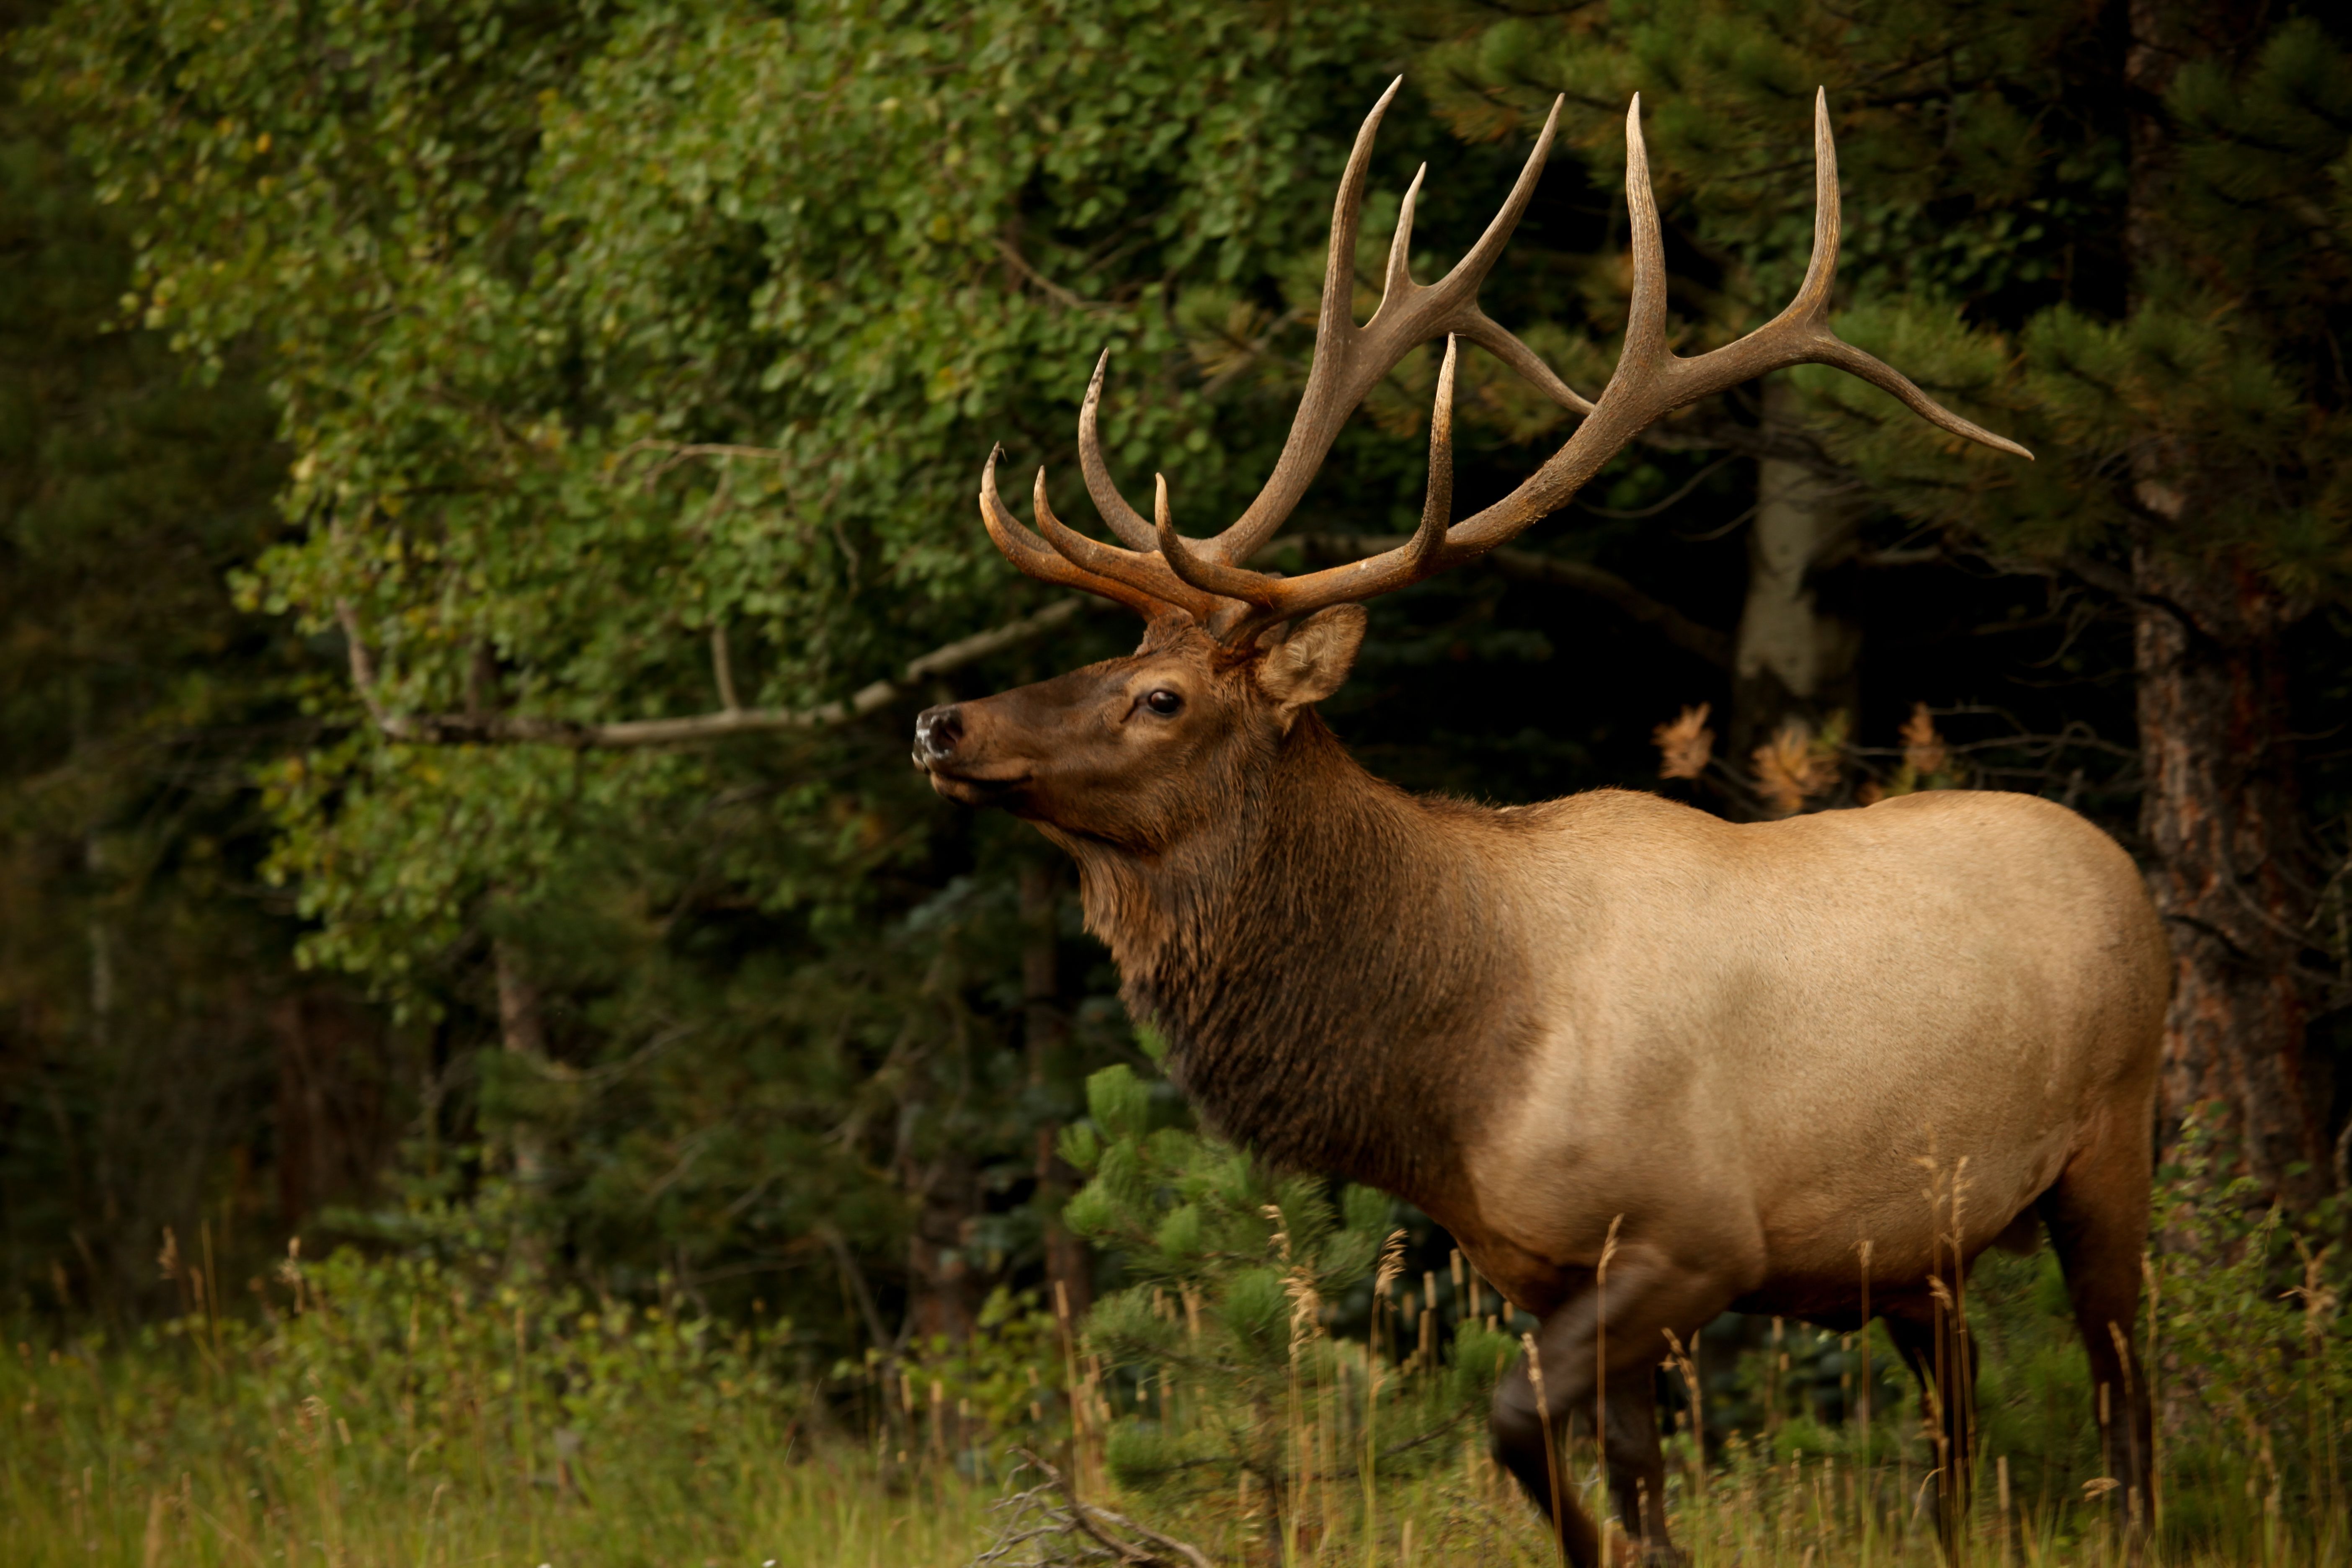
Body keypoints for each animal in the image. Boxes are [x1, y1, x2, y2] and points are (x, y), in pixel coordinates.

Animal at [912, 81, 2164, 1565]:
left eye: (1160, 697)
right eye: (1108, 658)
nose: (942, 723)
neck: (1449, 1076)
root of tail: (2125, 867)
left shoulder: (1696, 1238)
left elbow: (1516, 1428)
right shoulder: (1541, 1268)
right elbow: (1632, 1488)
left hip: (2111, 1141)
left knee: (2126, 1393)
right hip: (1919, 1248)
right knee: (1960, 1419)